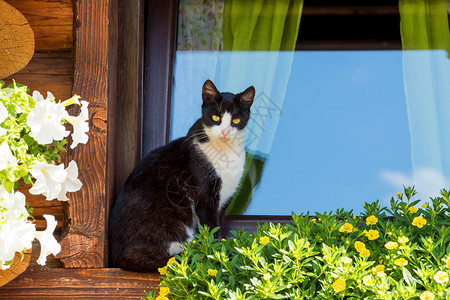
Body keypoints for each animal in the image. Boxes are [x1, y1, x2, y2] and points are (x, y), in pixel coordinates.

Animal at [108, 79, 253, 272]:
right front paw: (216, 256)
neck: (226, 152)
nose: (224, 132)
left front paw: (222, 251)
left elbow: (219, 227)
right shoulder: (205, 198)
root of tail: (116, 257)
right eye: (216, 117)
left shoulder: (225, 200)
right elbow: (211, 228)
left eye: (236, 119)